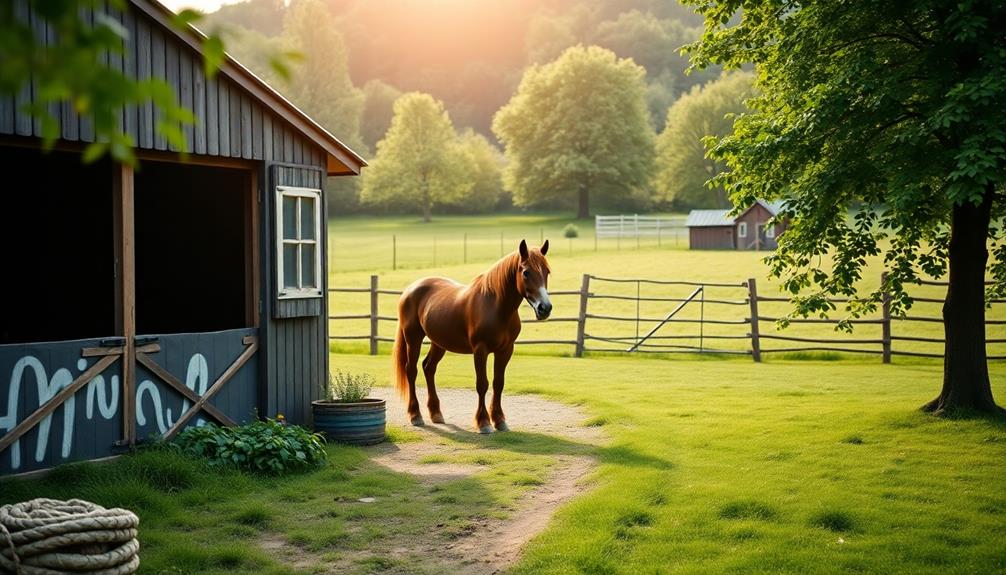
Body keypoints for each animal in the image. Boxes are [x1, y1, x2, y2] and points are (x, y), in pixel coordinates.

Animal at [390, 238, 551, 430]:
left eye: (547, 271)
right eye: (526, 272)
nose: (545, 308)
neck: (495, 306)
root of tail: (410, 289)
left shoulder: (505, 350)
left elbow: (498, 383)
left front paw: (499, 420)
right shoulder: (480, 350)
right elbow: (482, 384)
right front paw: (483, 422)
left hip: (439, 343)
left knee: (429, 368)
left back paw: (436, 414)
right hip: (413, 339)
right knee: (411, 370)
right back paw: (415, 415)